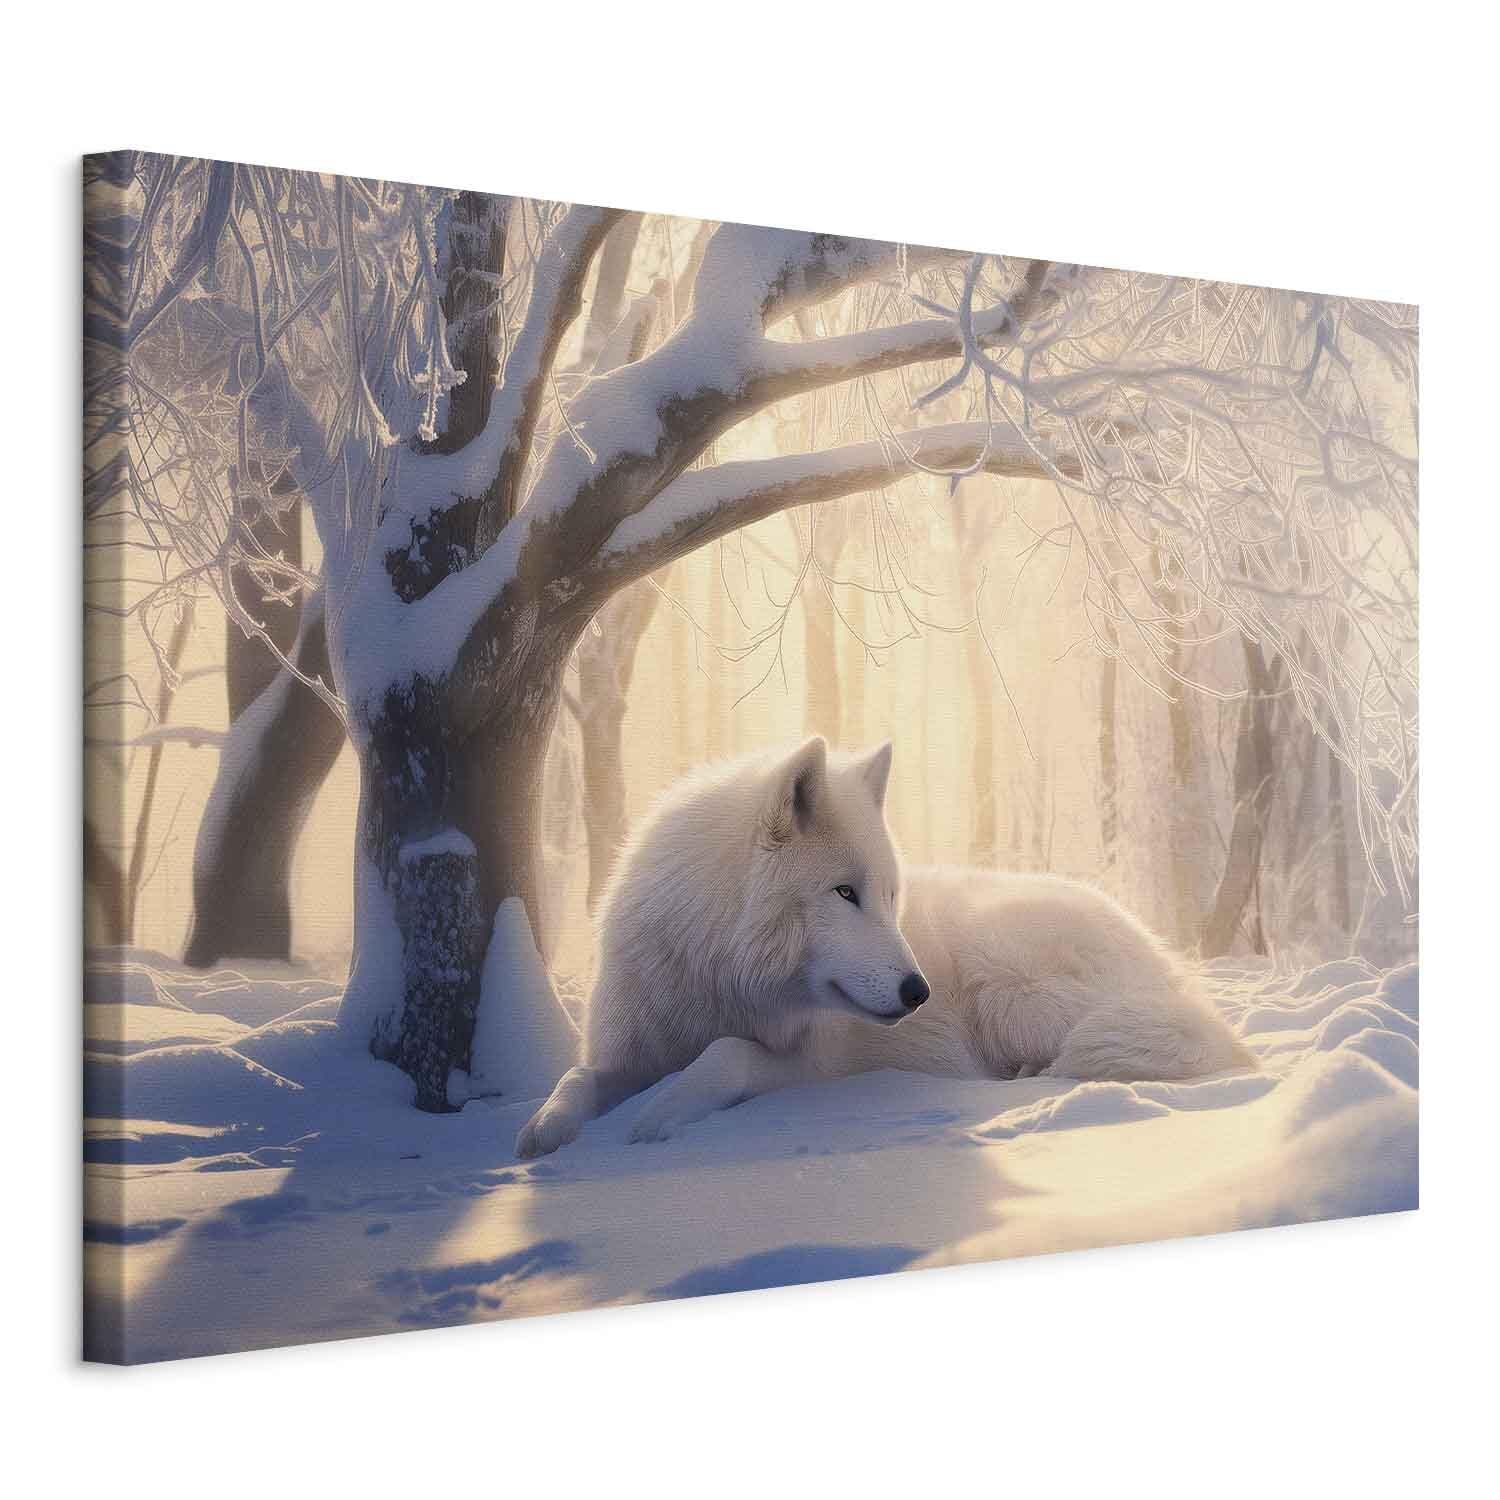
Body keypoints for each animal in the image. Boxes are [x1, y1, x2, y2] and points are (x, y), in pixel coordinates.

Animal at [516, 736, 1254, 1158]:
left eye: (891, 896)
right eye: (845, 893)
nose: (920, 991)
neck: (718, 974)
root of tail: (1173, 972)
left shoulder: (812, 1063)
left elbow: (724, 1055)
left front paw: (658, 1116)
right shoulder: (627, 1050)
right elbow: (577, 1078)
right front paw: (544, 1131)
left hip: (1005, 978)